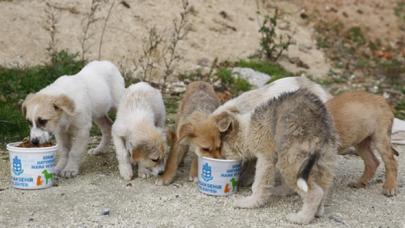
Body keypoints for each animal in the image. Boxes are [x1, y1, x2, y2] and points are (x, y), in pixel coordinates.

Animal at [181, 89, 336, 224]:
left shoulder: (265, 158)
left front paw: (250, 202)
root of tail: (318, 123)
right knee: (324, 187)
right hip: (324, 159)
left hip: (290, 161)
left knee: (315, 193)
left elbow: (259, 184)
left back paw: (301, 218)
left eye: (219, 146)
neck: (247, 130)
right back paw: (318, 211)